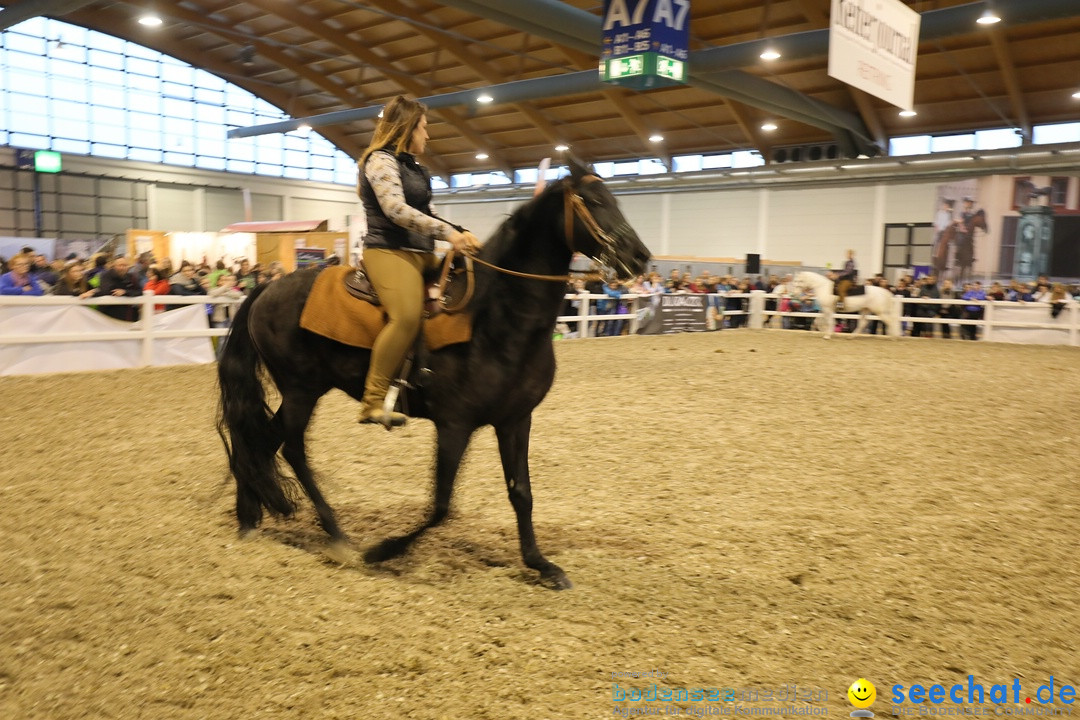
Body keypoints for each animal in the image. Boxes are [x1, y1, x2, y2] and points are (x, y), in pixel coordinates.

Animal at [214, 158, 643, 591]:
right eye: (593, 201)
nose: (639, 257)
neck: (494, 317)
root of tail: (266, 289)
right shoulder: (455, 424)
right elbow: (441, 505)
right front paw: (382, 550)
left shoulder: (516, 420)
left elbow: (521, 493)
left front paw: (541, 564)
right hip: (301, 389)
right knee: (292, 450)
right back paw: (336, 535)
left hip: (302, 391)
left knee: (263, 442)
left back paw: (250, 515)